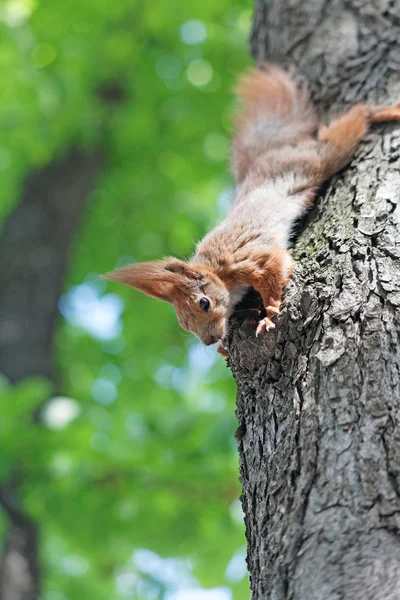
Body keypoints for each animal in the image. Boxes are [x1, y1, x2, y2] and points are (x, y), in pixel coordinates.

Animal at [102, 64, 400, 356]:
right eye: (184, 324)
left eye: (204, 303)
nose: (209, 340)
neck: (217, 270)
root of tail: (266, 156)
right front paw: (223, 346)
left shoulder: (249, 258)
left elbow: (274, 272)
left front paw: (269, 314)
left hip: (317, 159)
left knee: (355, 119)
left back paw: (386, 111)